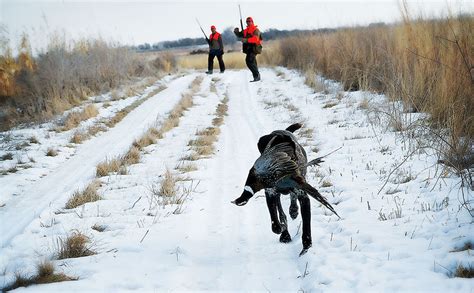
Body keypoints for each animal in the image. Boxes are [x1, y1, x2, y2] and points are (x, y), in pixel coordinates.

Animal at [231, 122, 338, 254]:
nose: (293, 161)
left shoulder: (303, 196)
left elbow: (306, 224)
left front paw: (306, 246)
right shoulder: (270, 194)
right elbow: (276, 223)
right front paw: (283, 230)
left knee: (292, 199)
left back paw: (293, 211)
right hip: (279, 193)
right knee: (282, 212)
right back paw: (286, 231)